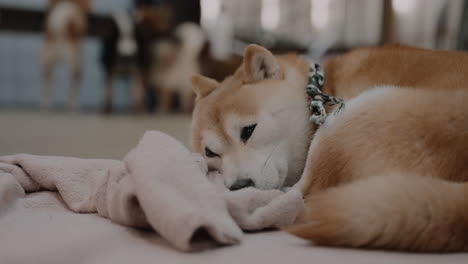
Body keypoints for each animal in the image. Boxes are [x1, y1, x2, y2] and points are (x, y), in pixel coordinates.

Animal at [188, 44, 468, 252]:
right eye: (210, 153)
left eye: (248, 130)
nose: (239, 186)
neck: (320, 86)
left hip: (348, 117)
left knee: (303, 195)